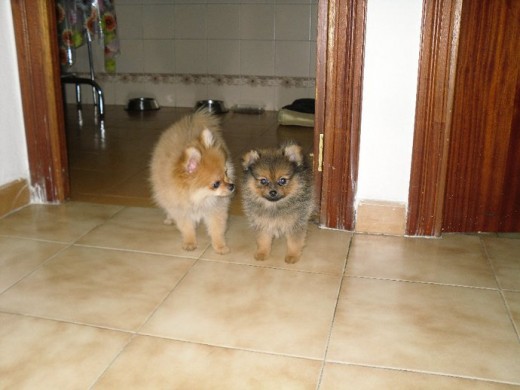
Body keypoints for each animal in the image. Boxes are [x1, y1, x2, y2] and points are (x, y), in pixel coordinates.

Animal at [150, 109, 236, 254]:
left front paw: (219, 246)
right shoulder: (181, 209)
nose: (232, 186)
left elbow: (217, 229)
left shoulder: (215, 209)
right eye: (216, 184)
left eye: (226, 173)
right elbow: (187, 228)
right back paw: (169, 218)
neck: (199, 198)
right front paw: (190, 242)